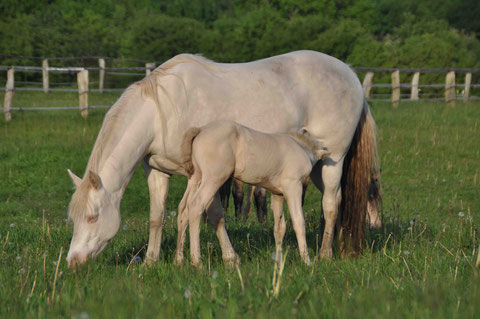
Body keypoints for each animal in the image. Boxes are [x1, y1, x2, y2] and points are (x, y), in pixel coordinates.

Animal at [176, 120, 330, 268]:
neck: (301, 149)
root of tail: (200, 130)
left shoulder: (277, 194)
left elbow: (279, 228)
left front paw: (279, 262)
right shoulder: (293, 187)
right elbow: (298, 222)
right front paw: (307, 261)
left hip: (196, 177)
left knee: (184, 209)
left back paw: (179, 260)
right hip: (214, 178)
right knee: (196, 206)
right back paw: (197, 262)